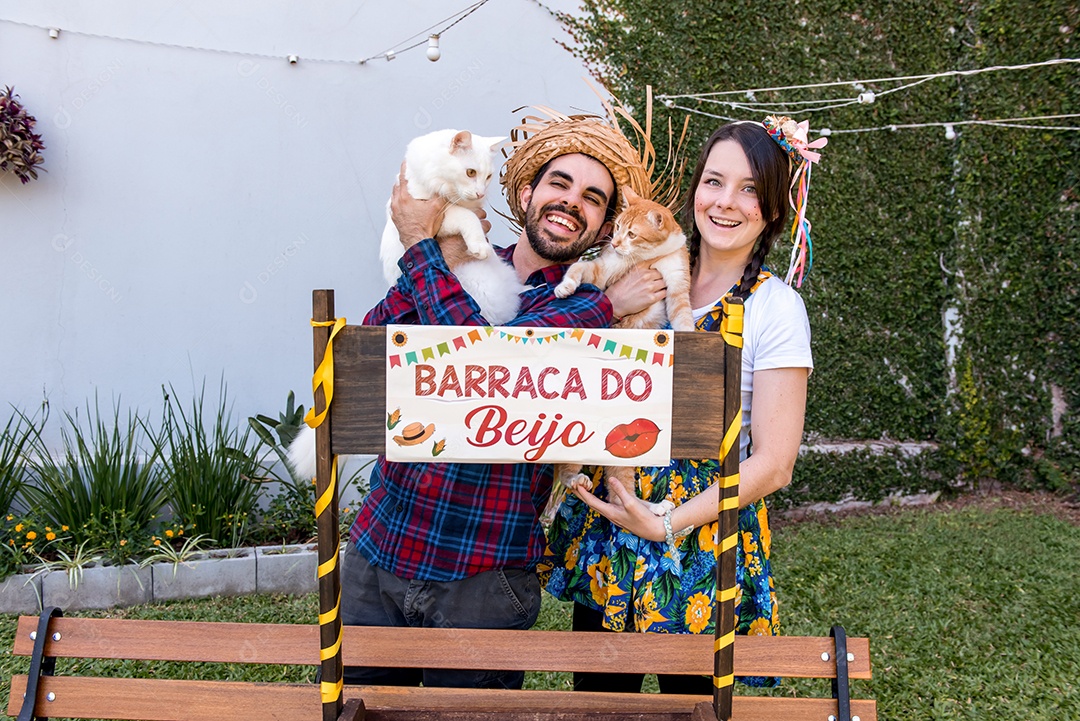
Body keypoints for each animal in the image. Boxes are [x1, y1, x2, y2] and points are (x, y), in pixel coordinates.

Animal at [378, 127, 524, 323]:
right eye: (471, 172)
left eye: (488, 177)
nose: (480, 193)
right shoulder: (436, 214)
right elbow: (468, 217)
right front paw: (480, 246)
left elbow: (471, 215)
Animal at [544, 188, 695, 520]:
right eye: (615, 229)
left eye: (632, 233)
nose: (613, 243)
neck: (648, 258)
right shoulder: (600, 270)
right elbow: (577, 269)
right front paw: (565, 288)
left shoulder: (677, 284)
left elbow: (683, 315)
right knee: (568, 474)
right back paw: (578, 479)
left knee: (618, 495)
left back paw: (654, 509)